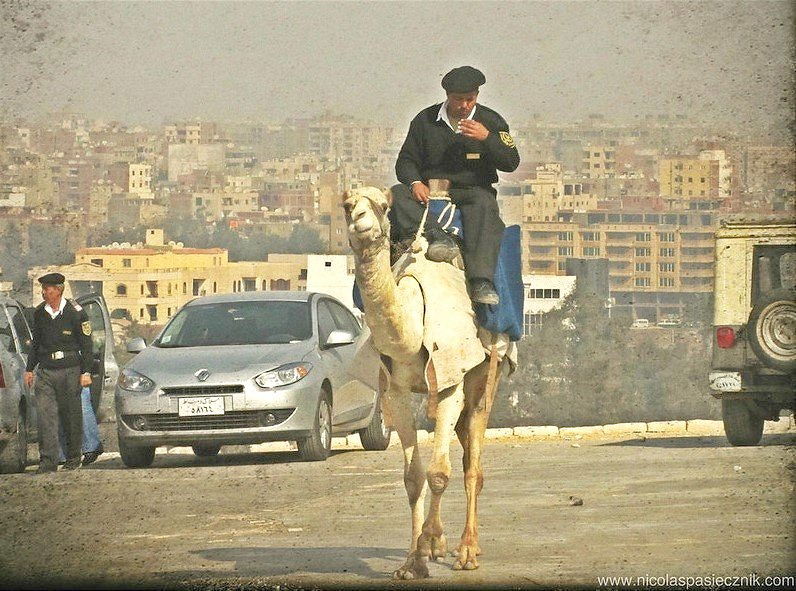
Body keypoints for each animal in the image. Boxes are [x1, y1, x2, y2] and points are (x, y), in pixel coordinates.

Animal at [342, 185, 510, 580]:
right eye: (347, 205)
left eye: (381, 205)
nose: (361, 221)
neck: (412, 325)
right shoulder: (395, 392)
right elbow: (412, 477)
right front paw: (413, 560)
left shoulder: (450, 381)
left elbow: (438, 473)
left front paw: (431, 539)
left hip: (487, 375)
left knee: (473, 466)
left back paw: (467, 551)